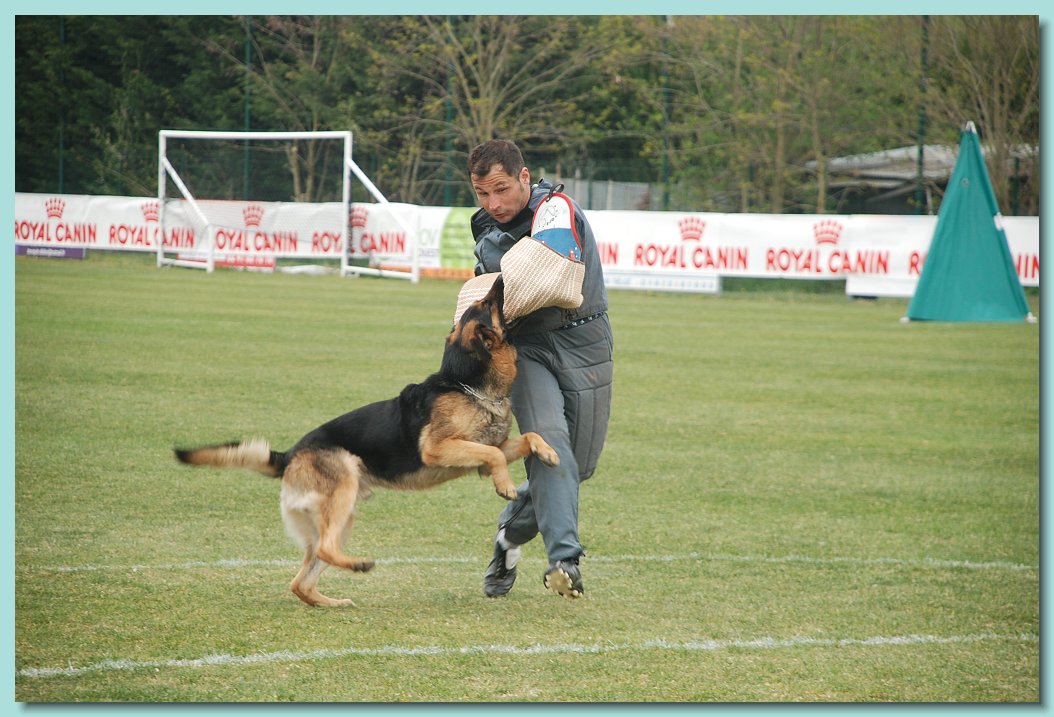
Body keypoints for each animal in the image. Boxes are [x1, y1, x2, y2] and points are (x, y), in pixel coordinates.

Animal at [174, 276, 558, 607]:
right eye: (489, 302)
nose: (500, 278)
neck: (466, 384)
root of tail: (291, 453)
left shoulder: (484, 448)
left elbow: (526, 436)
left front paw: (549, 452)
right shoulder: (438, 449)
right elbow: (493, 454)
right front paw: (506, 485)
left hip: (341, 514)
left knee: (300, 581)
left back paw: (332, 602)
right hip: (343, 489)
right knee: (324, 551)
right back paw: (359, 565)